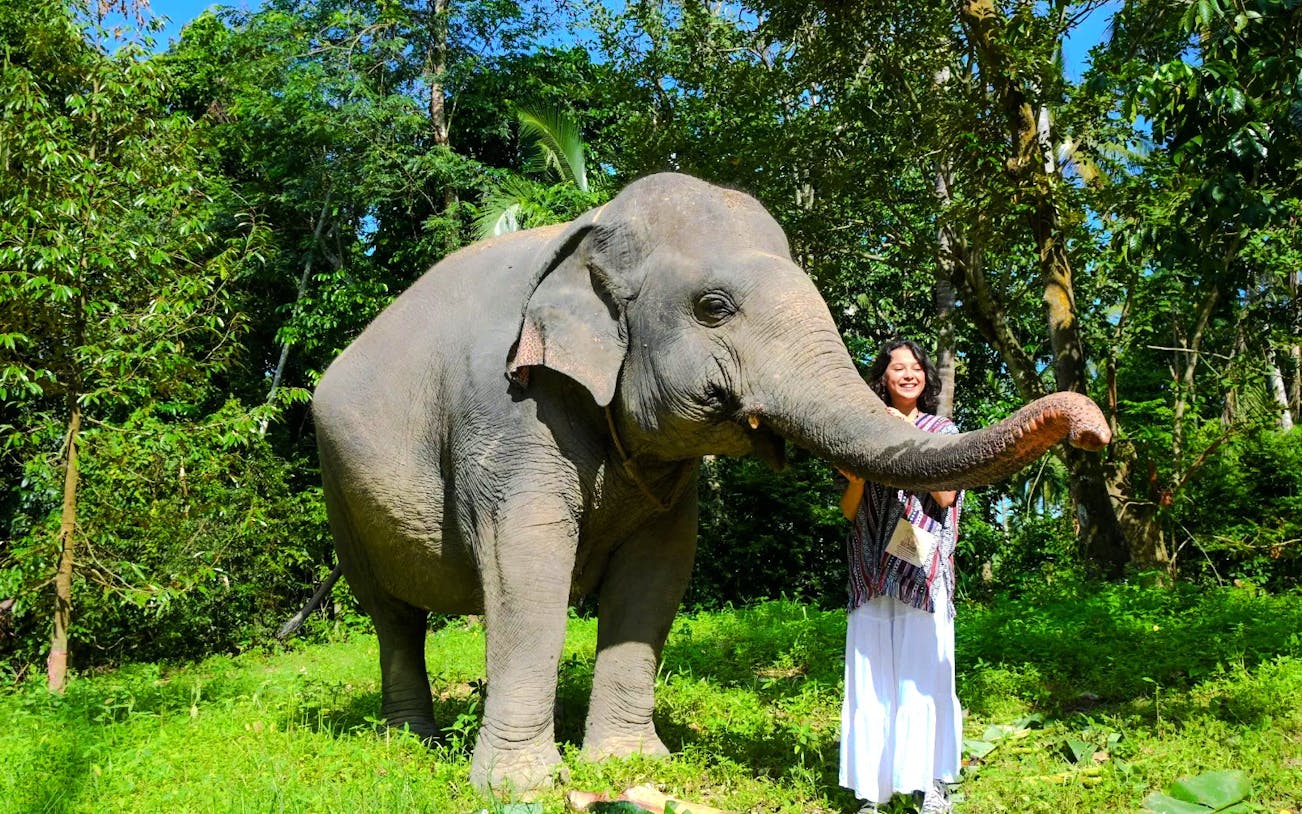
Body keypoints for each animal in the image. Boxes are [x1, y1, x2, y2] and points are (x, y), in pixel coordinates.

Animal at [310, 172, 1110, 792]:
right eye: (714, 308)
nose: (1093, 428)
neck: (587, 230)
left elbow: (658, 572)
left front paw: (629, 765)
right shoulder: (506, 409)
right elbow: (529, 563)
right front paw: (522, 789)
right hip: (338, 486)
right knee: (392, 615)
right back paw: (413, 741)